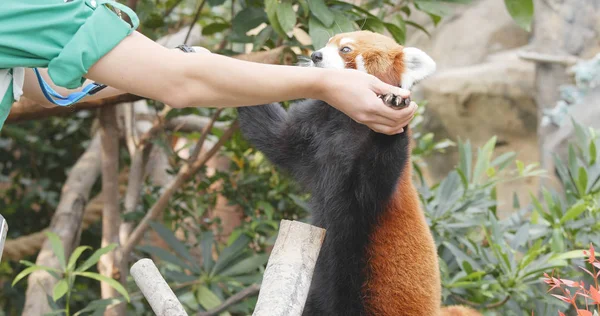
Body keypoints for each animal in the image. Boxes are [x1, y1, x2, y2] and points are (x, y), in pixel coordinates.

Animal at [237, 30, 480, 316]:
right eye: (327, 44)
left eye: (345, 49)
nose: (315, 55)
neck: (346, 119)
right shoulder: (312, 128)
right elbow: (275, 137)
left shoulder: (375, 184)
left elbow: (371, 179)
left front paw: (394, 108)